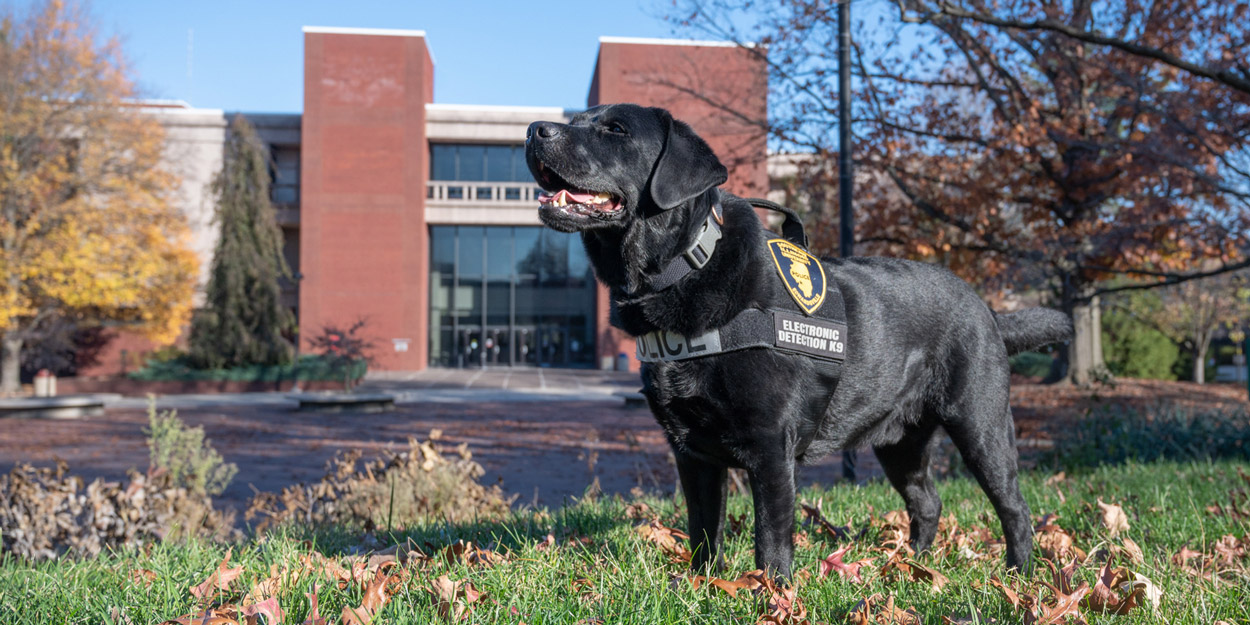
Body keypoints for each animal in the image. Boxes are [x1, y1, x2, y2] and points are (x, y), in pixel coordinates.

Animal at [522, 103, 1070, 580]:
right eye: (576, 119)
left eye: (615, 129)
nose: (533, 129)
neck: (684, 271)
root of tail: (987, 309)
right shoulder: (692, 453)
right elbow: (703, 532)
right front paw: (704, 586)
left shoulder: (771, 447)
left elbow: (771, 539)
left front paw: (772, 596)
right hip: (899, 441)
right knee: (928, 501)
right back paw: (913, 566)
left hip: (980, 424)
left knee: (1014, 506)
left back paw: (1019, 574)